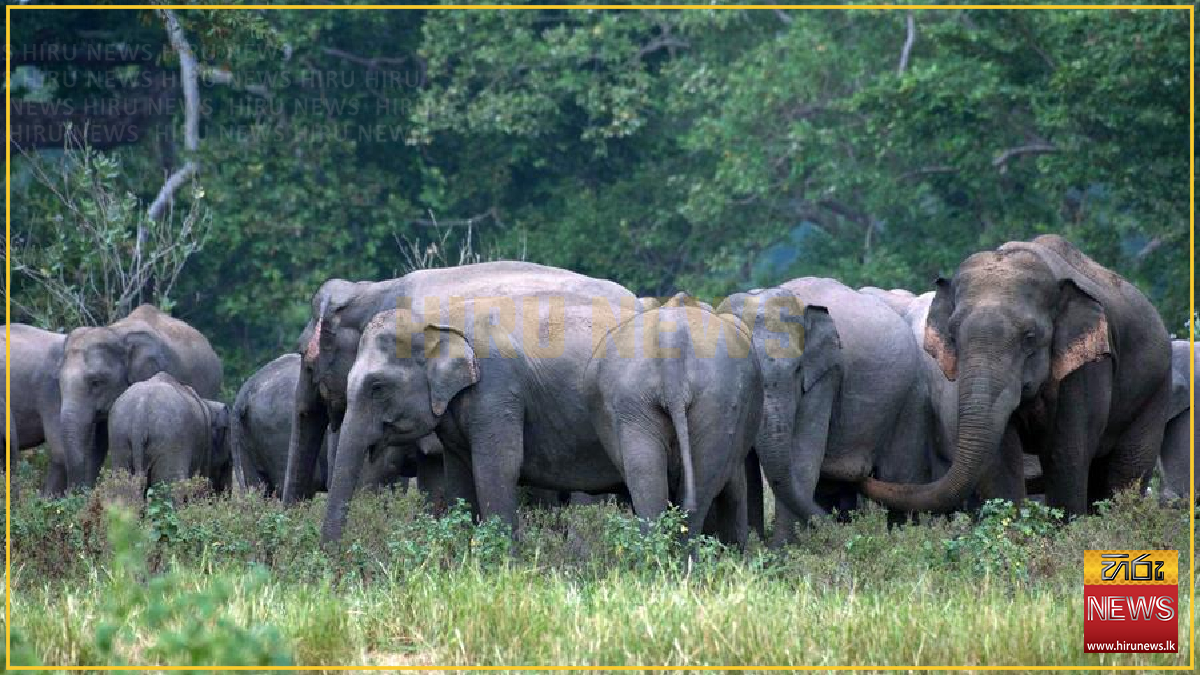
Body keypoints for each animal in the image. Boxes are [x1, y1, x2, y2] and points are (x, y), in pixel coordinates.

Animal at [320, 293, 640, 543]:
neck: (436, 323)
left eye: (377, 387)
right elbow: (459, 475)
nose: (333, 558)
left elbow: (498, 467)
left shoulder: (497, 390)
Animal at [718, 278, 933, 544]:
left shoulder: (825, 376)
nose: (844, 533)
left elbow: (804, 456)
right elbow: (746, 468)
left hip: (911, 396)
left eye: (798, 370)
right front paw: (757, 547)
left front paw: (782, 550)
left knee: (900, 476)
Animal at [863, 235, 1172, 516]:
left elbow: (1065, 454)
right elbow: (1000, 460)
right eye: (952, 333)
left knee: (1124, 473)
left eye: (1030, 337)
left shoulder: (1087, 368)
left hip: (1155, 391)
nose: (864, 473)